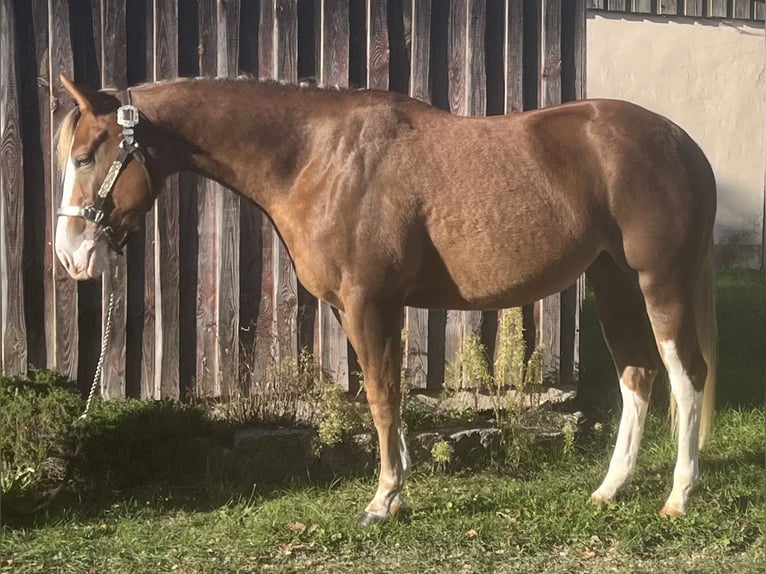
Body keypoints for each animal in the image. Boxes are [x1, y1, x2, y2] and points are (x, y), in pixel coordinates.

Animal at [55, 75, 717, 524]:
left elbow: (378, 396)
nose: (71, 257)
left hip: (660, 282)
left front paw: (383, 499)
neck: (318, 158)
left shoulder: (369, 301)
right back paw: (611, 489)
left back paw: (679, 495)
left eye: (85, 156)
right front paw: (397, 492)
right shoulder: (366, 308)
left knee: (686, 376)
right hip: (613, 282)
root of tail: (682, 142)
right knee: (637, 374)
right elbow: (390, 395)